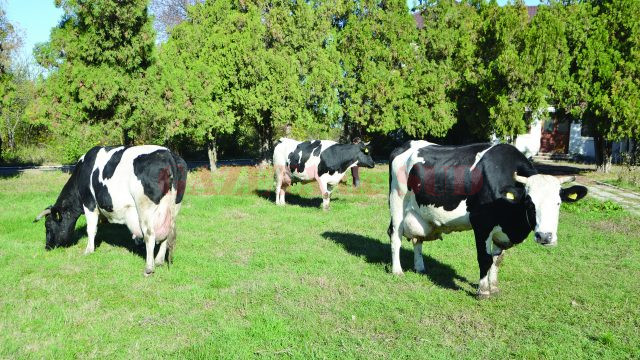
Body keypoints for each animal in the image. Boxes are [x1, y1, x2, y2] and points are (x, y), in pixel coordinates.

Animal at [34, 146, 188, 276]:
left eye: (48, 225)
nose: (47, 247)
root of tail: (168, 154)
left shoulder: (89, 203)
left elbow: (91, 229)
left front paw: (88, 250)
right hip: (173, 207)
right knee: (166, 232)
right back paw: (159, 260)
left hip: (145, 207)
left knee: (150, 234)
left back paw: (149, 268)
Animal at [388, 141, 588, 298]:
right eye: (529, 203)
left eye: (558, 203)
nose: (545, 237)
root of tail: (406, 145)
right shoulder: (481, 224)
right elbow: (485, 258)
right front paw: (483, 291)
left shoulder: (502, 232)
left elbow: (497, 260)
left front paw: (494, 287)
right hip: (397, 201)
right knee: (395, 236)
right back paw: (397, 271)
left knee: (418, 240)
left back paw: (420, 267)